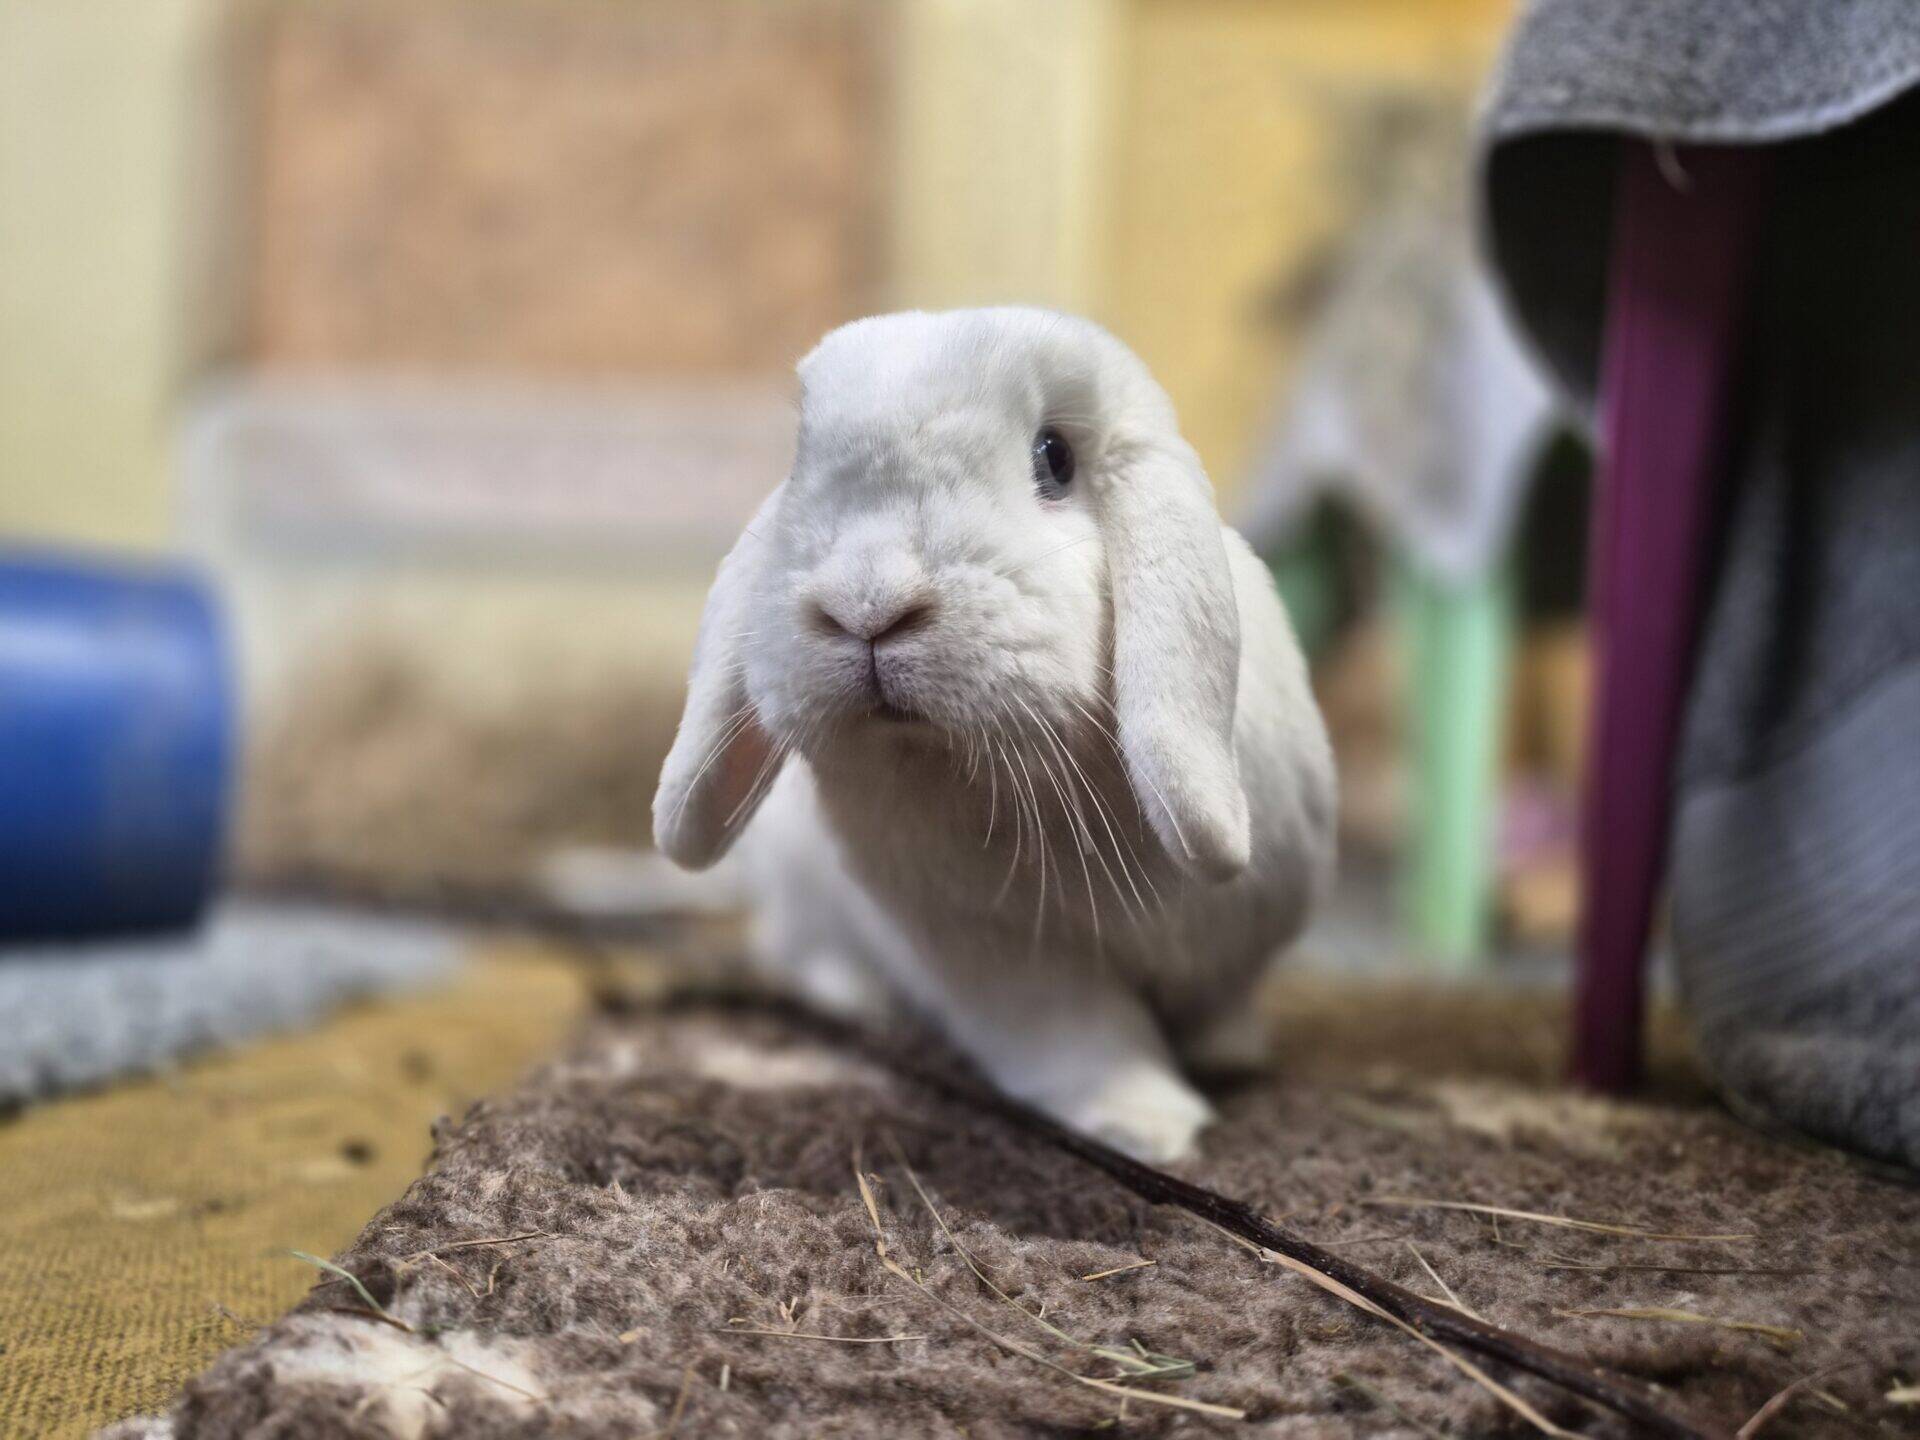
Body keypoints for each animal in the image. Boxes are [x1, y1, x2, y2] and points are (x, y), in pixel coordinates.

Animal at [653, 308, 1336, 1163]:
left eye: (1056, 457)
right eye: (800, 458)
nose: (868, 603)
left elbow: (1224, 1003)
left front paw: (1229, 1057)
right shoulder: (1000, 956)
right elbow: (1085, 1038)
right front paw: (1148, 1128)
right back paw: (860, 997)